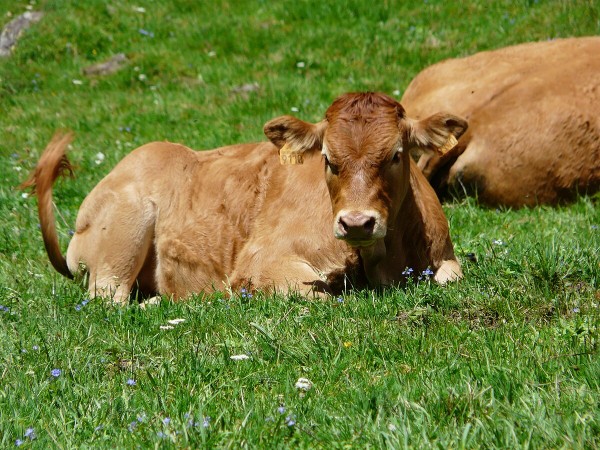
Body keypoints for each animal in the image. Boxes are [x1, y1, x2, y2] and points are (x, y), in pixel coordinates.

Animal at [23, 92, 466, 304]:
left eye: (396, 154)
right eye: (327, 158)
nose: (357, 222)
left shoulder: (446, 259)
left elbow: (452, 278)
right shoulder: (263, 262)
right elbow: (321, 299)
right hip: (123, 236)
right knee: (110, 299)